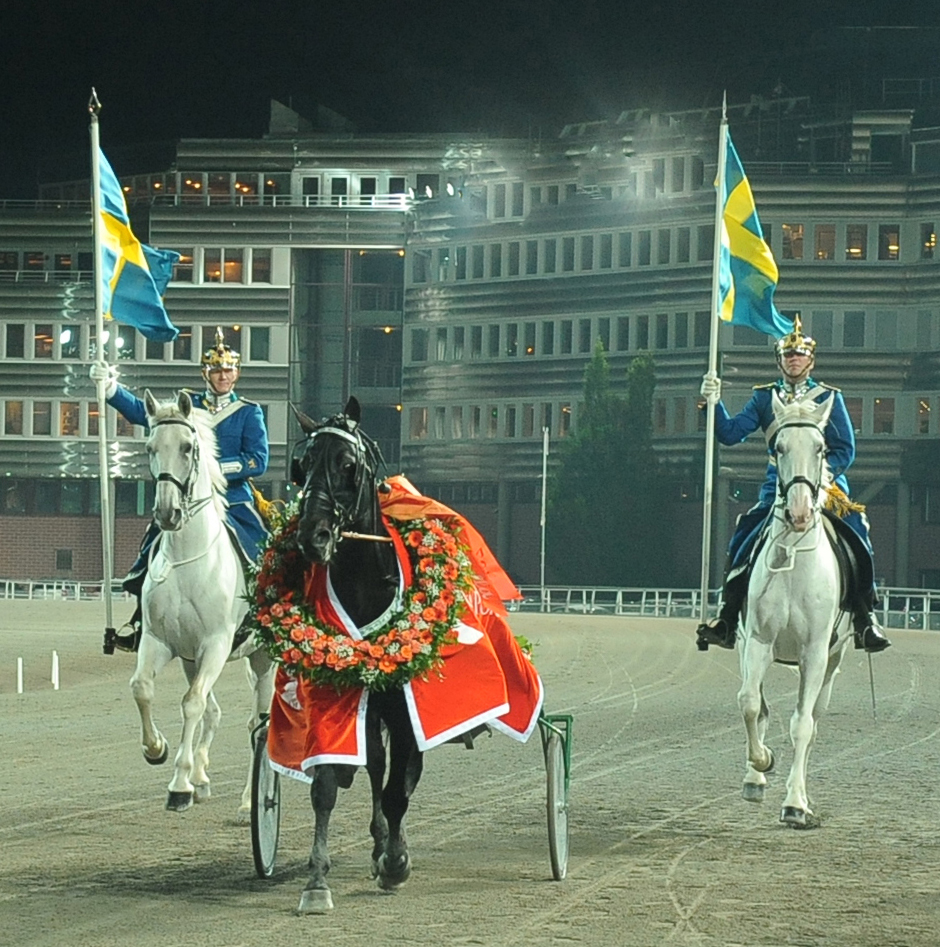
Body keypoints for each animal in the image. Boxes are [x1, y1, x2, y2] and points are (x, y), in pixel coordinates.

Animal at [130, 390, 274, 816]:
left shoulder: (216, 644)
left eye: (188, 447)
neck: (187, 560)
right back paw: (202, 776)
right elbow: (142, 688)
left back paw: (248, 800)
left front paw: (179, 785)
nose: (167, 512)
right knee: (216, 711)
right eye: (150, 447)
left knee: (258, 723)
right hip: (192, 660)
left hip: (264, 658)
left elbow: (192, 704)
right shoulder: (161, 643)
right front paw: (157, 749)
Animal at [288, 396, 420, 916]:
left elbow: (398, 789)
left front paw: (396, 862)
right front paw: (316, 880)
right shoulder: (333, 691)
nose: (313, 536)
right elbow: (326, 787)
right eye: (301, 466)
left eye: (349, 465)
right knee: (377, 766)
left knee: (393, 776)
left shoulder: (402, 706)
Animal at [740, 388, 856, 824]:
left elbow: (802, 726)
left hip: (832, 663)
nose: (801, 512)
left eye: (821, 447)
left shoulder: (815, 653)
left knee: (812, 722)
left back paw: (800, 797)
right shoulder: (757, 642)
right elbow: (750, 705)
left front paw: (794, 804)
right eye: (778, 447)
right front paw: (761, 764)